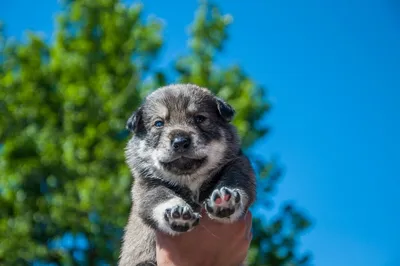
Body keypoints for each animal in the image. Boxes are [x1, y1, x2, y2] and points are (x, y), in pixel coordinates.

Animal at [119, 84, 256, 264]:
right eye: (159, 123)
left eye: (200, 118)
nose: (180, 141)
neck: (190, 179)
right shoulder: (146, 187)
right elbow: (161, 197)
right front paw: (177, 212)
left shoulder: (239, 165)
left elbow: (235, 182)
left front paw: (227, 199)